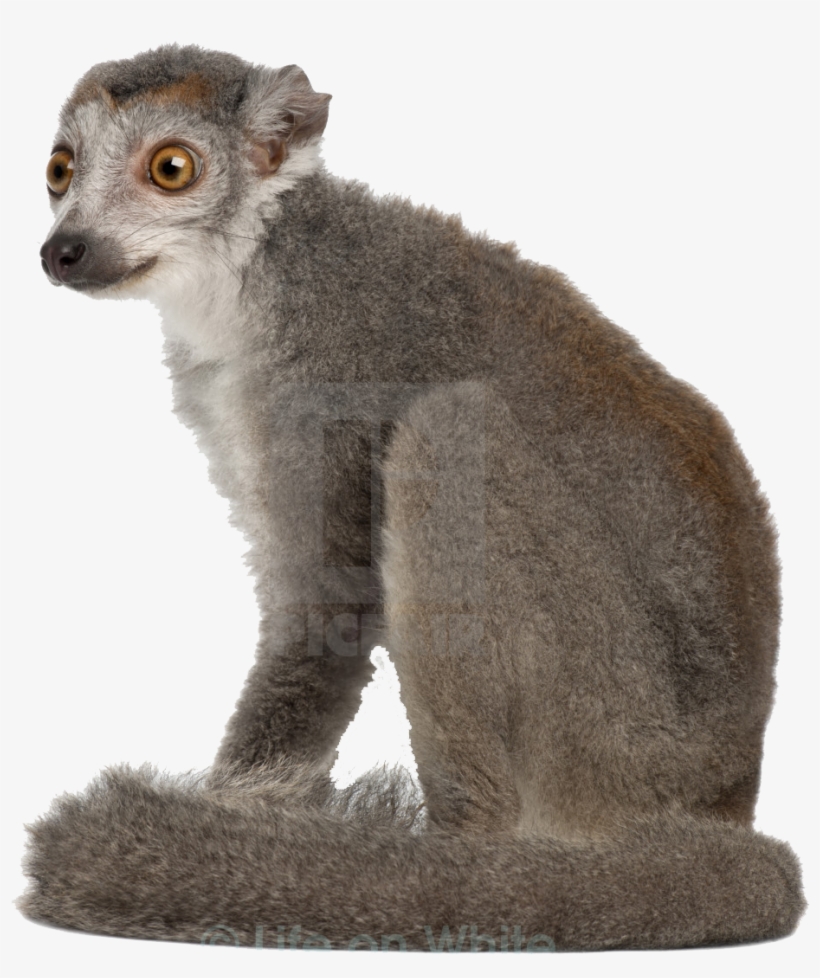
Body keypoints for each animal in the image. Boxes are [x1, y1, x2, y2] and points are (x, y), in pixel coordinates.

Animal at [19, 44, 804, 951]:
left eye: (171, 168)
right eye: (59, 170)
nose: (66, 249)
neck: (254, 271)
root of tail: (726, 792)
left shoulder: (318, 379)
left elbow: (325, 616)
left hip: (611, 727)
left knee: (446, 431)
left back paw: (458, 873)